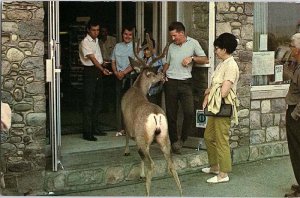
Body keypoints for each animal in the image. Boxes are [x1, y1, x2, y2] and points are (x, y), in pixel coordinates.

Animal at [120, 33, 182, 196]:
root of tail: (155, 115)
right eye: (155, 73)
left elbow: (127, 136)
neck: (137, 89)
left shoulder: (128, 122)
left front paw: (126, 152)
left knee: (151, 163)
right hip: (164, 136)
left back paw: (147, 191)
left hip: (144, 136)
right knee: (171, 163)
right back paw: (181, 192)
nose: (163, 75)